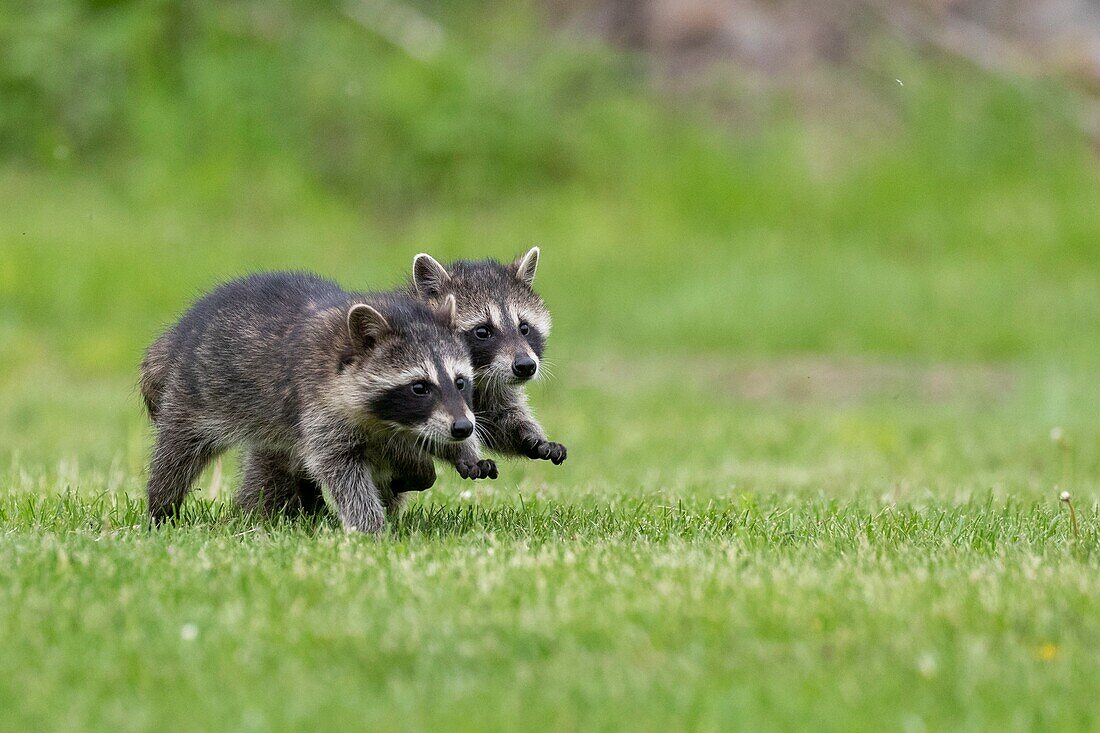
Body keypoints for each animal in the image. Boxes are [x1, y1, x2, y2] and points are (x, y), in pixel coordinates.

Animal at [139, 269, 497, 530]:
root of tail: (181, 332)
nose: (463, 428)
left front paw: (463, 451)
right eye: (419, 387)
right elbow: (339, 469)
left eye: (460, 382)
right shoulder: (317, 404)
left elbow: (424, 439)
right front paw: (370, 527)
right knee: (177, 455)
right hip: (195, 392)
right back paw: (163, 507)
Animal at [407, 248, 567, 464]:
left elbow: (497, 419)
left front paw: (530, 436)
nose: (526, 365)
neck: (480, 376)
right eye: (482, 331)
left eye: (524, 328)